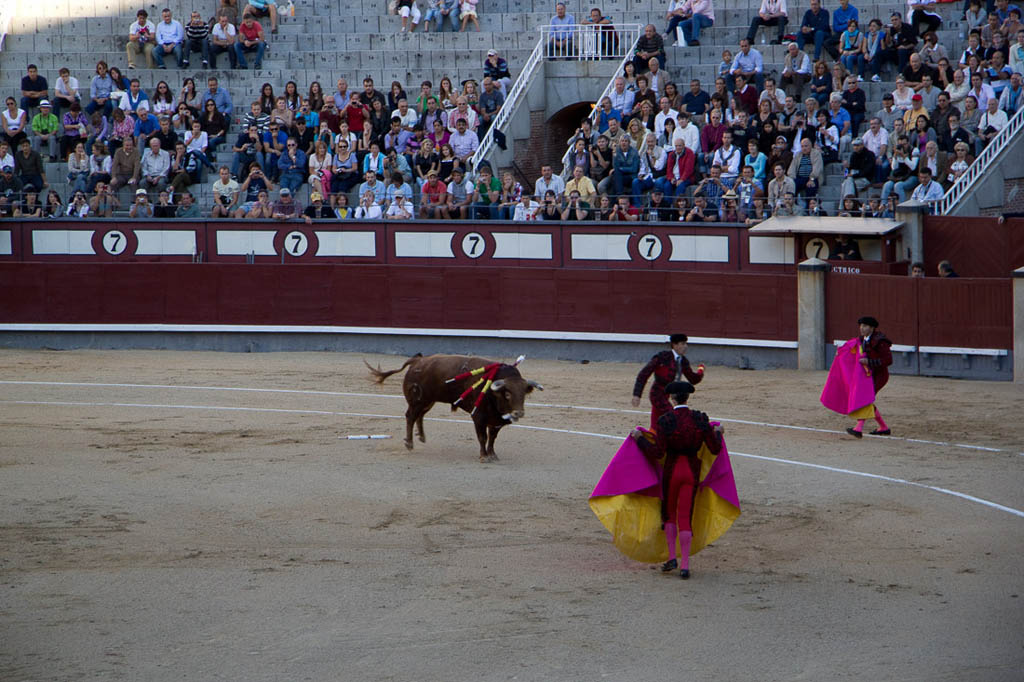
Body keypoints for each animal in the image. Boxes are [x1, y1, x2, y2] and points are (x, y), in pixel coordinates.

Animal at [368, 352, 544, 458]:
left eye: (524, 394)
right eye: (507, 394)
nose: (518, 413)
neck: (493, 392)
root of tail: (418, 360)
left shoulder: (496, 420)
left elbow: (492, 438)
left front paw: (492, 455)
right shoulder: (478, 417)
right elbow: (482, 437)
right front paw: (484, 456)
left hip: (428, 401)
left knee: (420, 416)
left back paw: (422, 437)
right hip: (417, 400)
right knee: (410, 416)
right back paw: (409, 443)